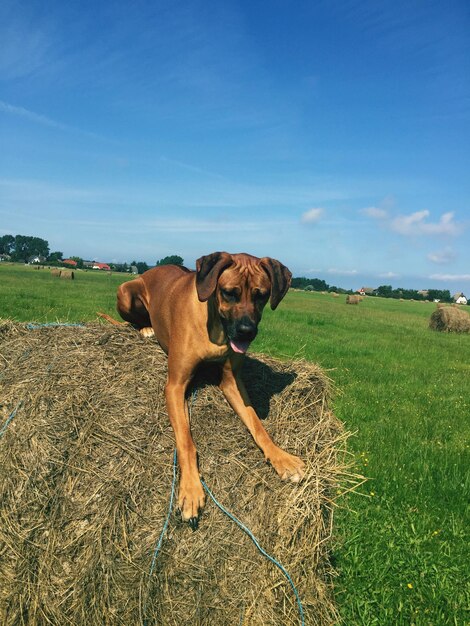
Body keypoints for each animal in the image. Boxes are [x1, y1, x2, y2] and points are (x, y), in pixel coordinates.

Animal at [114, 250, 304, 528]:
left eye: (261, 295)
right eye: (229, 293)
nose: (247, 332)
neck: (215, 328)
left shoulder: (231, 381)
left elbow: (257, 425)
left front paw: (281, 457)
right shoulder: (175, 386)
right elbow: (186, 442)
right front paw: (191, 490)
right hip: (126, 291)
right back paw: (146, 328)